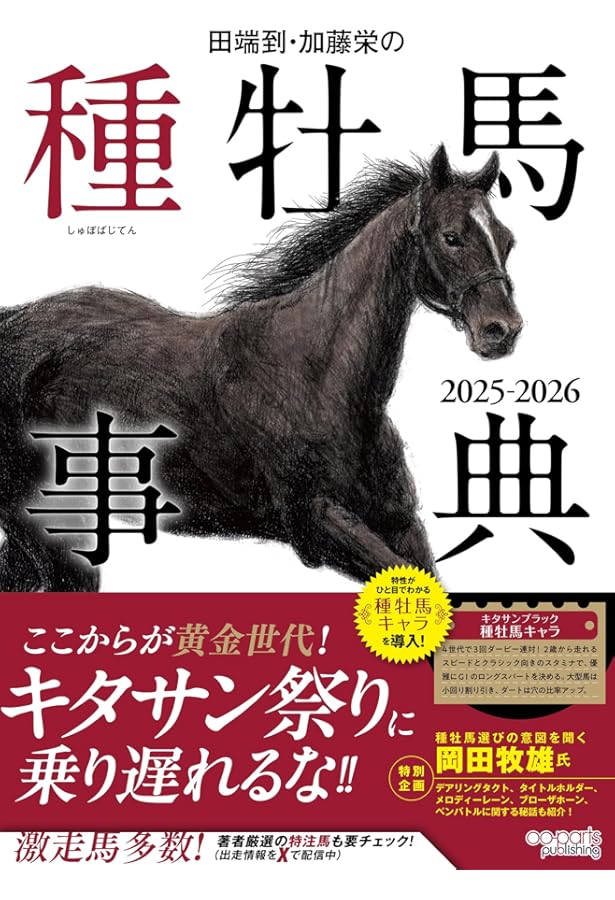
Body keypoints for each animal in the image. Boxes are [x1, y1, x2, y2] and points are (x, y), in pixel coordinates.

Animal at [0, 145, 523, 592]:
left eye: (506, 239)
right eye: (451, 237)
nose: (502, 330)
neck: (318, 377)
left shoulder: (398, 522)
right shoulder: (317, 522)